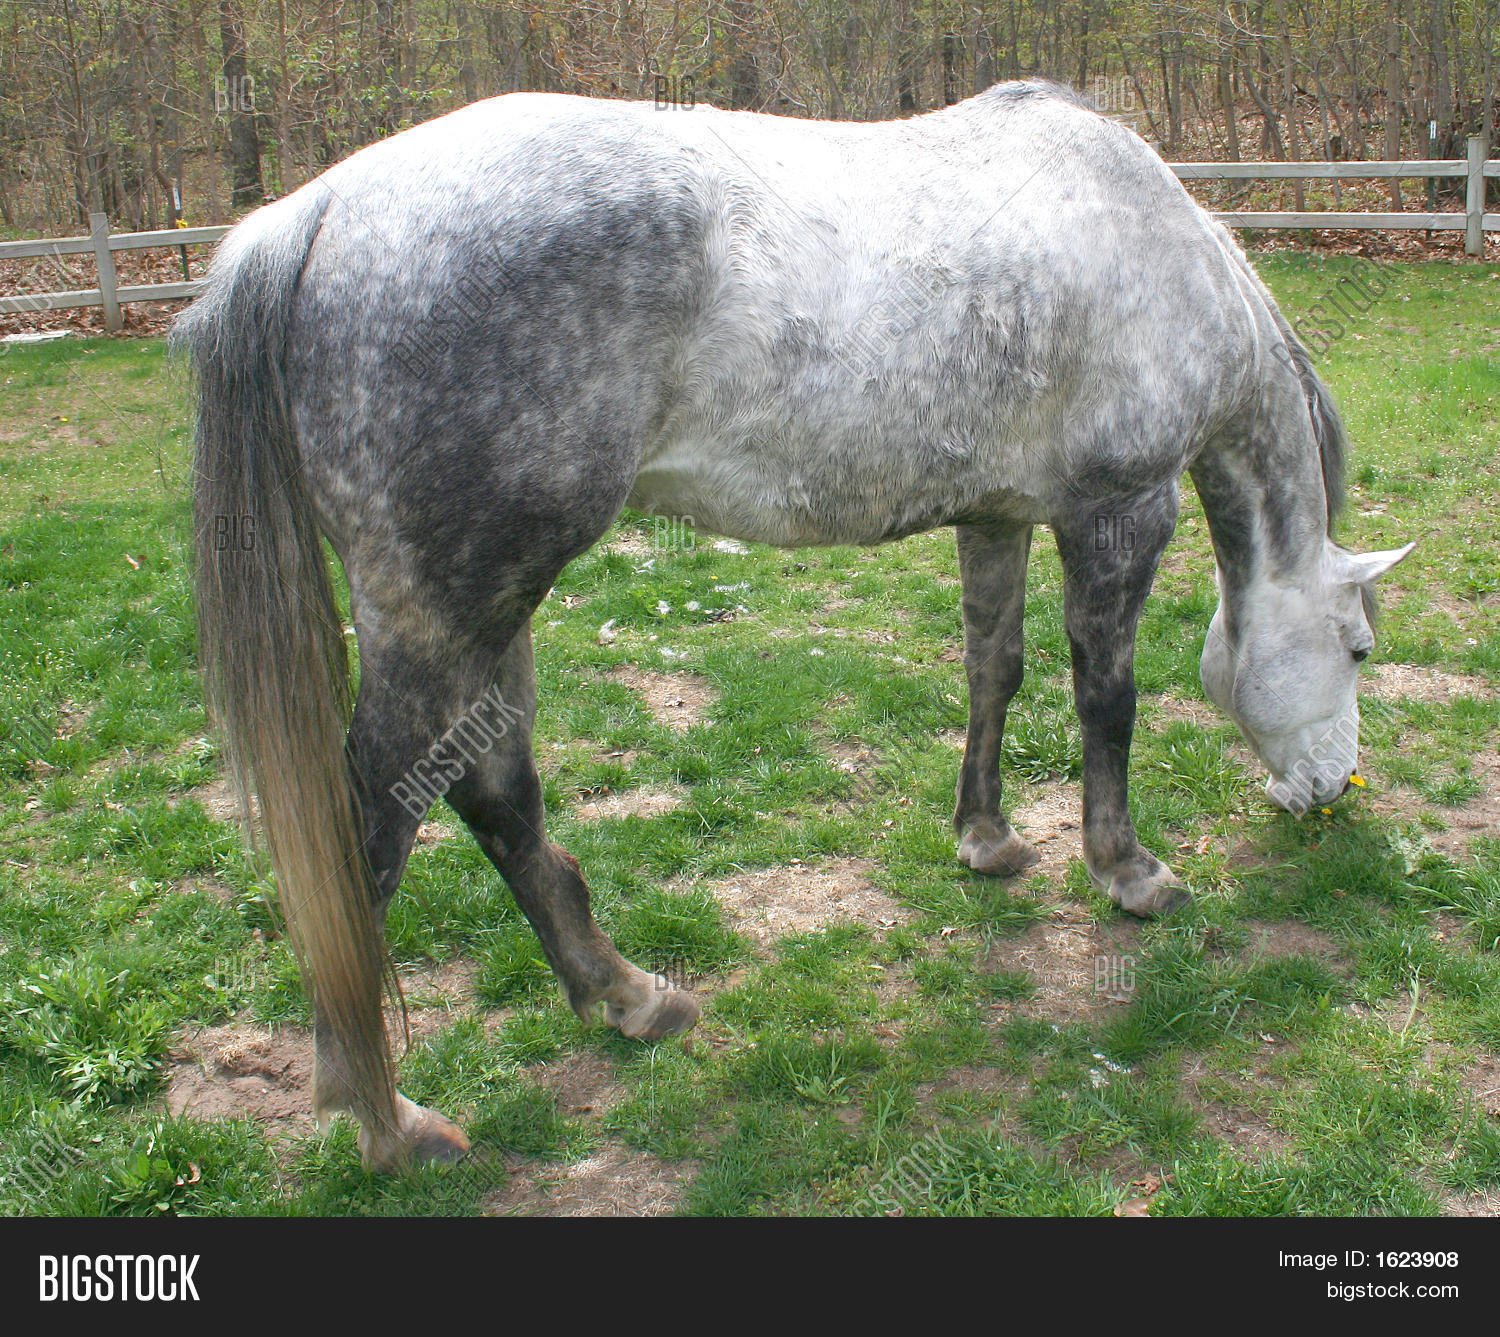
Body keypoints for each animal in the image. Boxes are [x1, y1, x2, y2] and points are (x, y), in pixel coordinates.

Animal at [174, 79, 1412, 1171]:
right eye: (1357, 649)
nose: (1327, 794)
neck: (1151, 239)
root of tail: (318, 211)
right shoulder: (1117, 514)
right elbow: (1107, 700)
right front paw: (1128, 870)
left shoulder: (997, 516)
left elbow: (994, 670)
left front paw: (987, 836)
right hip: (448, 612)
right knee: (374, 824)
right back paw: (387, 1121)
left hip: (483, 616)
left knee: (495, 794)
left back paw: (626, 996)